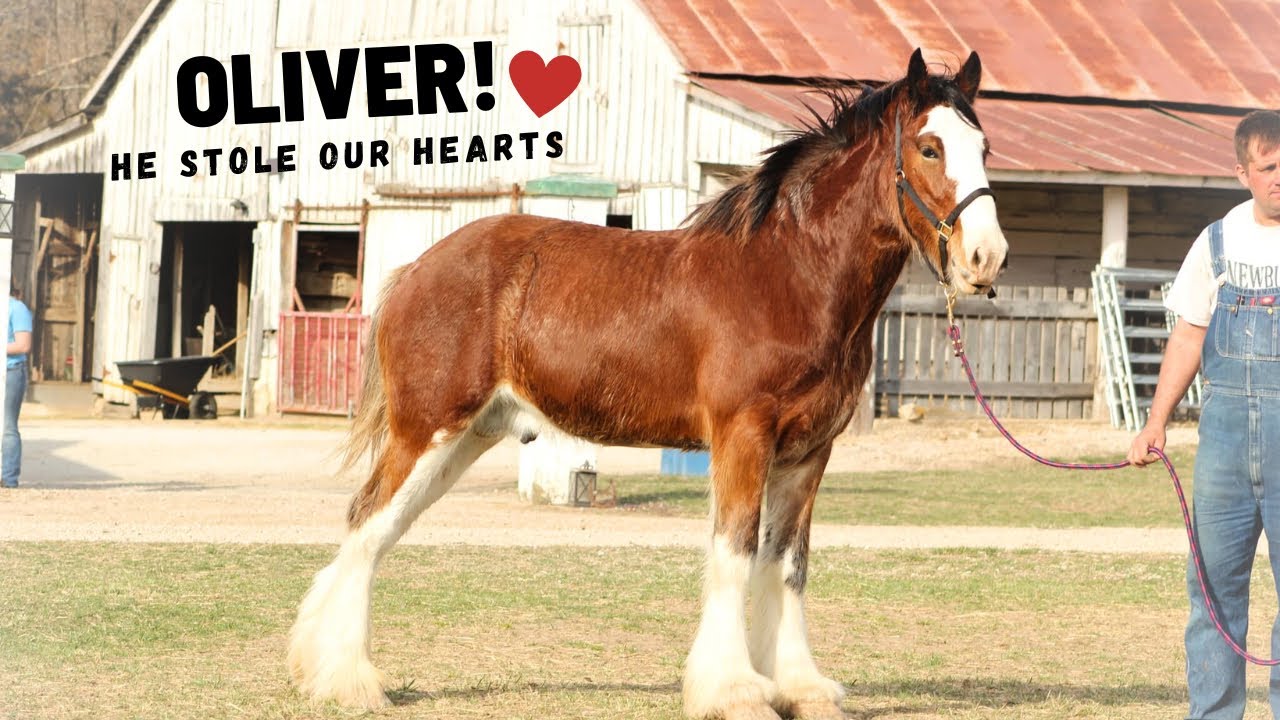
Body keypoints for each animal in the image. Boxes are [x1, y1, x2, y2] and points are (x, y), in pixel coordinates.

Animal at [287, 48, 1008, 720]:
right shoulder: (743, 437)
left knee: (377, 527)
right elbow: (735, 551)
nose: (986, 258)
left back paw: (326, 668)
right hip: (429, 429)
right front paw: (733, 690)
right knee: (368, 522)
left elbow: (788, 563)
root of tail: (413, 270)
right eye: (929, 147)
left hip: (466, 438)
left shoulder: (808, 453)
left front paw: (801, 687)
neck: (788, 276)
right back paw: (351, 681)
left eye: (984, 148)